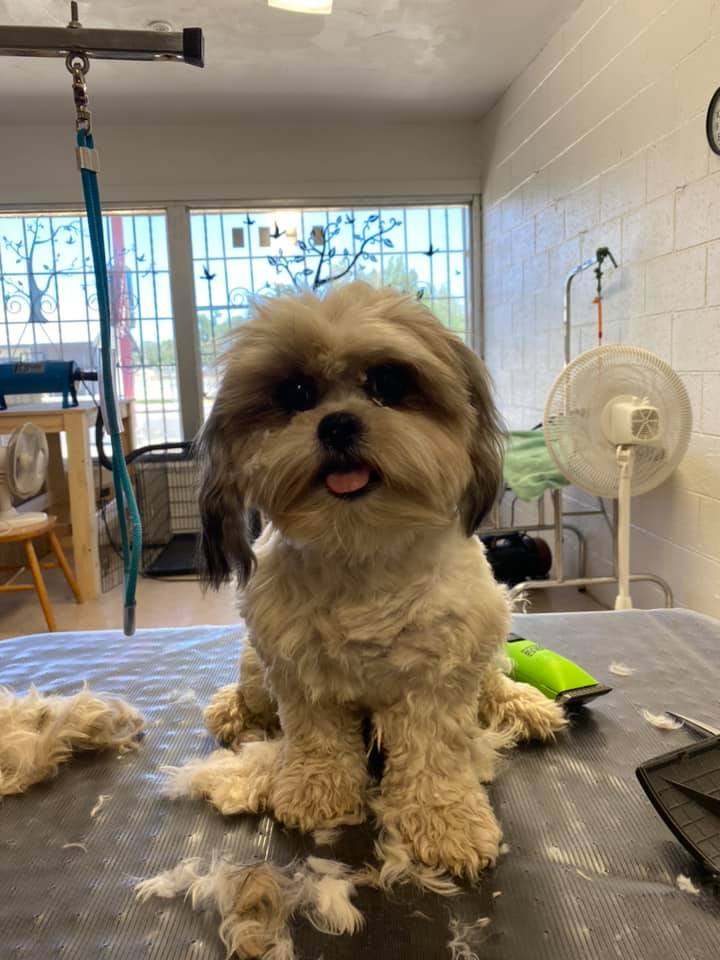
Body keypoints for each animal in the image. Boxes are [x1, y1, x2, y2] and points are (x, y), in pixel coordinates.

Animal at [195, 282, 565, 882]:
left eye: (389, 384)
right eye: (296, 392)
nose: (338, 422)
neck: (361, 548)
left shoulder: (441, 675)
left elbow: (434, 754)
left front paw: (446, 821)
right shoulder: (300, 669)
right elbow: (318, 736)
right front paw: (315, 788)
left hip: (484, 641)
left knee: (492, 680)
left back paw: (522, 703)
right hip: (257, 665)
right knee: (252, 692)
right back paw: (236, 709)